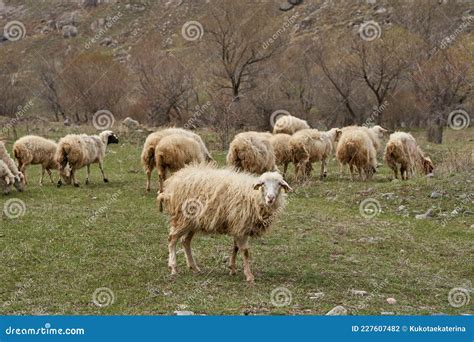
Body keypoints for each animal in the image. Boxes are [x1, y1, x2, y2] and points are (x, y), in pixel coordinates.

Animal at [158, 164, 292, 282]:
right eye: (263, 184)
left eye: (279, 184)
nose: (270, 198)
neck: (254, 197)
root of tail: (175, 180)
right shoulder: (241, 225)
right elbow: (245, 251)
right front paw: (249, 276)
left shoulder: (237, 226)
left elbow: (235, 247)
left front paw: (232, 269)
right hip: (182, 219)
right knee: (172, 239)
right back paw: (174, 268)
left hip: (193, 222)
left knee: (185, 241)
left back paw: (194, 267)